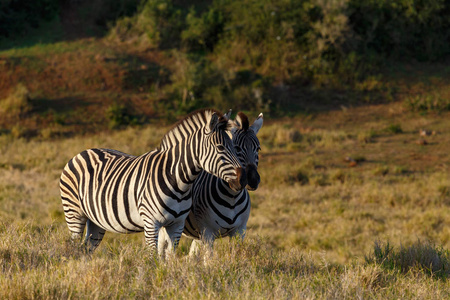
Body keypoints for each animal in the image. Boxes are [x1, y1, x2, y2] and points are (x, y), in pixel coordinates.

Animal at [59, 109, 246, 254]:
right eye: (220, 148)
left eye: (234, 146)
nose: (242, 179)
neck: (179, 180)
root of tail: (81, 153)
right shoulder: (151, 223)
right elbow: (153, 257)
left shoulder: (176, 224)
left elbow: (170, 257)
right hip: (74, 213)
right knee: (75, 248)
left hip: (95, 220)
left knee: (86, 249)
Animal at [159, 111, 262, 256]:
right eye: (236, 148)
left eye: (258, 149)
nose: (251, 180)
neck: (232, 198)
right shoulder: (208, 232)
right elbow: (209, 259)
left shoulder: (240, 231)